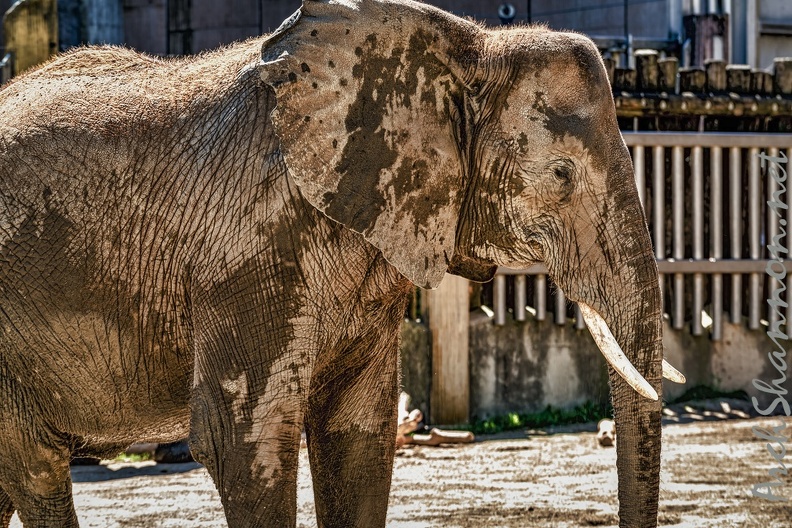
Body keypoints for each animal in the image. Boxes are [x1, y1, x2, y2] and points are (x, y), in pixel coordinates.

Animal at [0, 0, 684, 524]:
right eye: (563, 175)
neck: (465, 48)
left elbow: (356, 435)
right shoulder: (248, 249)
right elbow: (242, 442)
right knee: (36, 467)